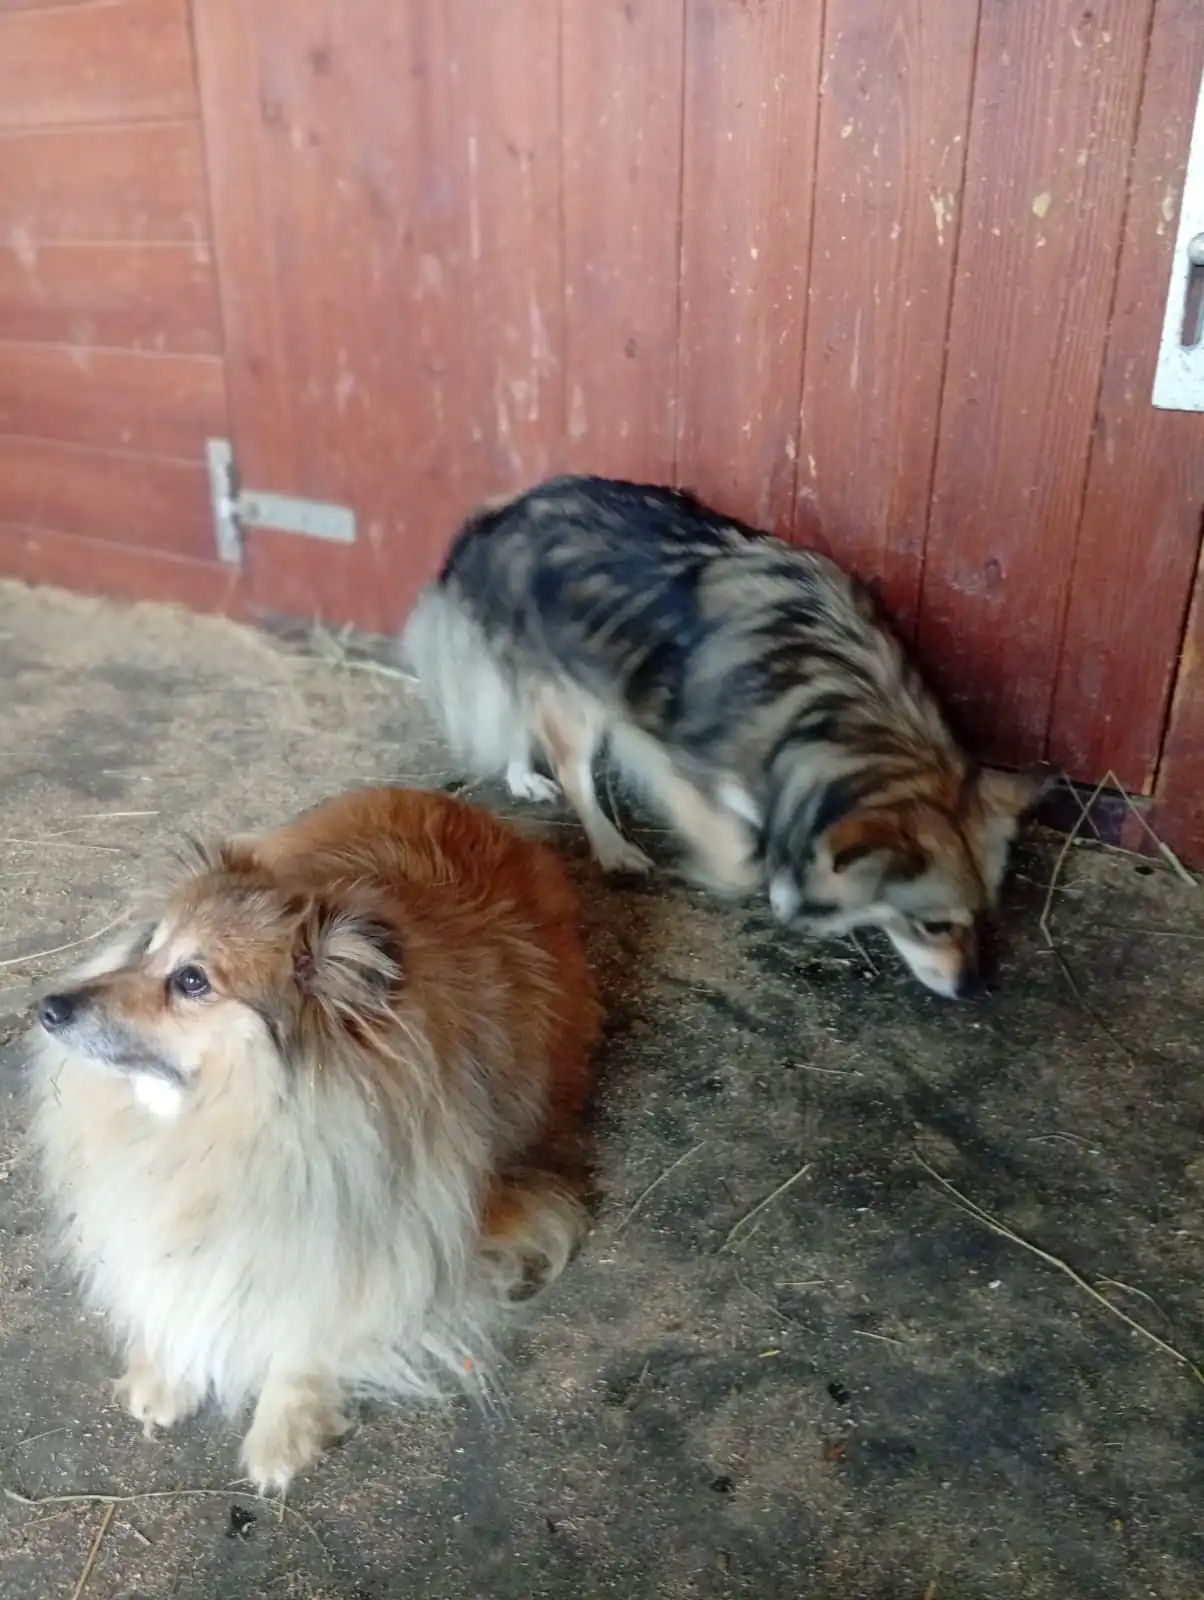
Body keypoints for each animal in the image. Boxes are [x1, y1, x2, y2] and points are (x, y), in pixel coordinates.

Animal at [27, 786, 601, 1492]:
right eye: (147, 949)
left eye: (192, 980)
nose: (48, 1010)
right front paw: (167, 1367)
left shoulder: (427, 1235)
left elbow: (314, 1325)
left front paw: (283, 1430)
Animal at [401, 474, 1043, 998]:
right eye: (933, 925)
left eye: (985, 917)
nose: (972, 989)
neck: (836, 709)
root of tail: (509, 506)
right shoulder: (678, 765)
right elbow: (742, 858)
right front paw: (768, 884)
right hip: (576, 695)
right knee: (573, 768)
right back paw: (611, 847)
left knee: (521, 721)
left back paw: (521, 776)